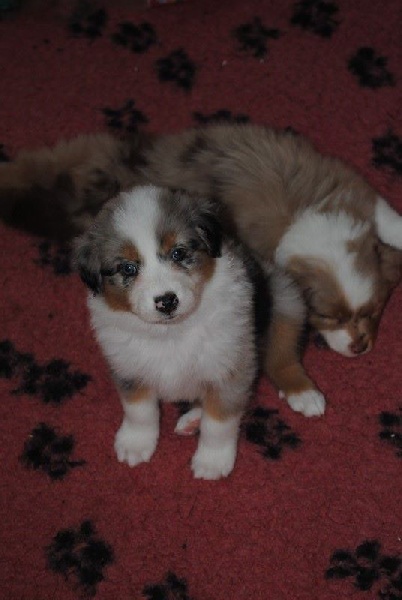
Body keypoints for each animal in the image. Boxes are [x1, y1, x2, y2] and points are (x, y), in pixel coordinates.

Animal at [1, 124, 402, 418]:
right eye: (327, 317)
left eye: (373, 311)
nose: (360, 347)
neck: (303, 217)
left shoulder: (351, 187)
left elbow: (387, 216)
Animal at [73, 184, 288, 479]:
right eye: (128, 268)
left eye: (178, 253)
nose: (166, 301)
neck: (170, 333)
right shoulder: (127, 366)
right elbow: (139, 410)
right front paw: (135, 444)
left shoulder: (230, 366)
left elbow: (219, 421)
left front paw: (212, 462)